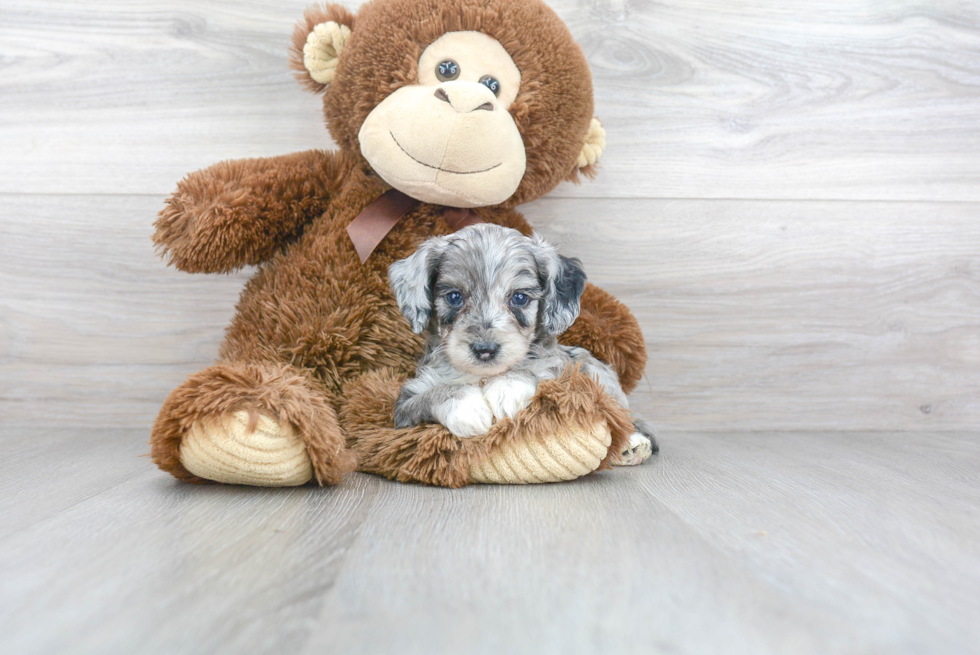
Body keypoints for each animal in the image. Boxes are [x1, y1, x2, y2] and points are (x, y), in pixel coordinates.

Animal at [386, 226, 656, 466]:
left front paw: (507, 387)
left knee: (620, 414)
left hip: (597, 372)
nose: (485, 349)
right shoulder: (405, 405)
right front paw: (466, 406)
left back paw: (632, 444)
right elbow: (430, 396)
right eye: (454, 297)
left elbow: (531, 371)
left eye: (519, 298)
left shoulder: (559, 377)